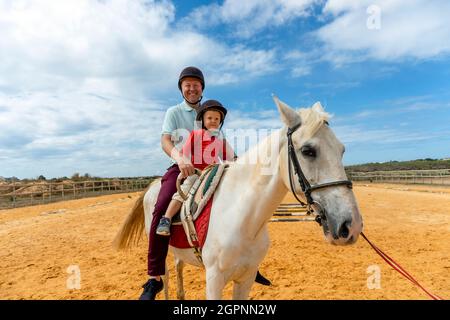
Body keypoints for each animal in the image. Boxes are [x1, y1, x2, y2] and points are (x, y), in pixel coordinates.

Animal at [114, 97, 364, 300]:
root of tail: (152, 185)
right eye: (308, 151)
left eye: (342, 150)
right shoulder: (214, 281)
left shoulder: (246, 278)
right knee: (163, 275)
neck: (242, 218)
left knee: (178, 270)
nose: (350, 226)